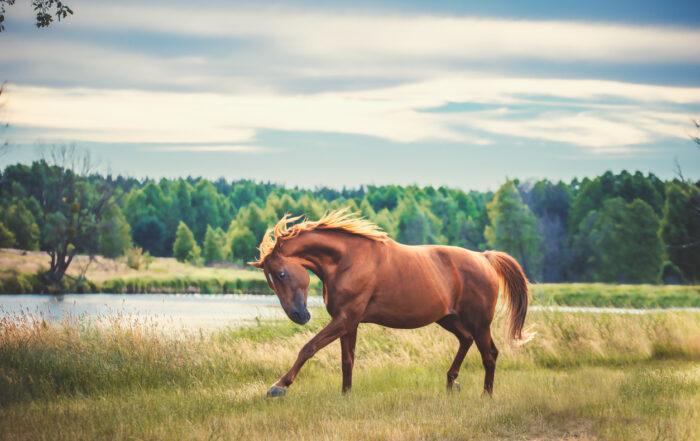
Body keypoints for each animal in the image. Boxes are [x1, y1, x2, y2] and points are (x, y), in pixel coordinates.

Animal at [250, 209, 530, 397]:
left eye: (281, 274)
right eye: (270, 283)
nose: (299, 316)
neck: (348, 260)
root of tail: (485, 258)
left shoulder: (345, 319)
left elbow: (308, 348)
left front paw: (278, 387)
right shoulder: (349, 323)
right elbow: (347, 361)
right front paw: (346, 395)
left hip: (480, 322)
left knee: (489, 355)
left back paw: (486, 395)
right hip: (448, 319)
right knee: (466, 341)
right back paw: (451, 383)